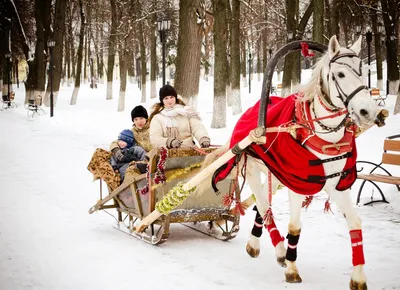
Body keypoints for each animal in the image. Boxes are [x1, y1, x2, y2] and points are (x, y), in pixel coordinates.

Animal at [203, 35, 388, 288]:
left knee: (263, 207)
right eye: (340, 74)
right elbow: (294, 226)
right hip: (253, 170)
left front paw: (358, 277)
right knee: (264, 206)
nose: (369, 112)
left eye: (364, 71)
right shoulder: (297, 184)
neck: (324, 137)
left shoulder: (336, 184)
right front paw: (291, 267)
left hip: (275, 174)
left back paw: (257, 243)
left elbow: (355, 223)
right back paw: (279, 250)